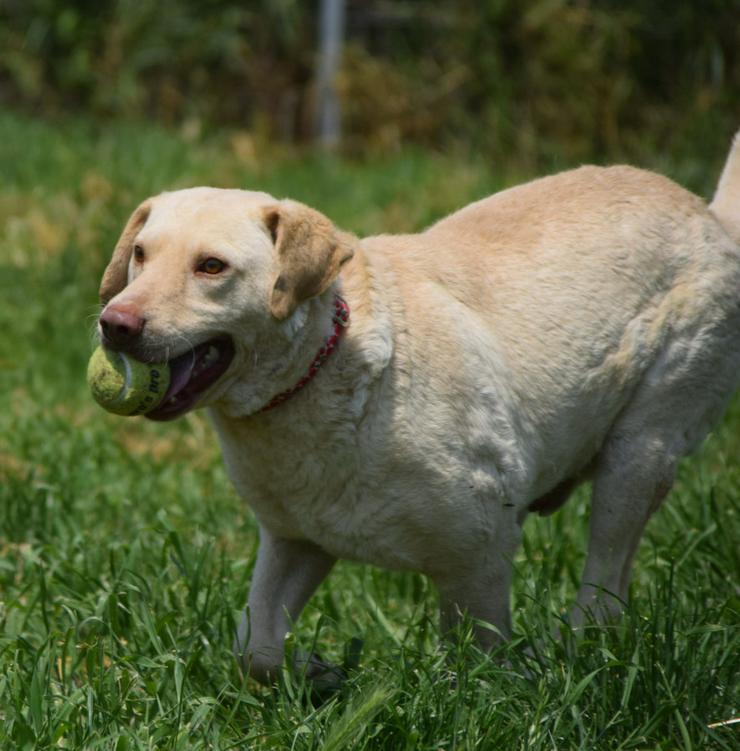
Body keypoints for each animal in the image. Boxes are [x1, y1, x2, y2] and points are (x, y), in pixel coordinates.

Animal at [97, 132, 740, 684]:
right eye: (139, 255)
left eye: (211, 266)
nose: (113, 324)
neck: (326, 368)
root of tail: (710, 215)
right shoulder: (296, 539)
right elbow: (255, 650)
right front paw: (318, 673)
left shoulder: (479, 553)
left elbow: (479, 663)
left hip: (640, 454)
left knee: (604, 586)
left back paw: (574, 652)